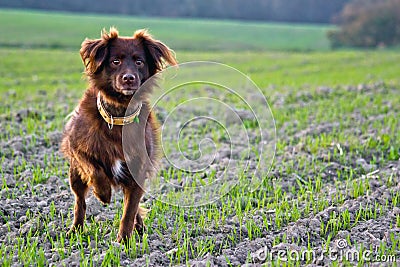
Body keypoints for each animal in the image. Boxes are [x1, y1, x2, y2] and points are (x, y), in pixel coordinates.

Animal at [60, 27, 177, 243]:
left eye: (139, 62)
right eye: (115, 61)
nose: (129, 78)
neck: (119, 115)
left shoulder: (138, 170)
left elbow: (129, 210)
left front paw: (123, 241)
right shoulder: (77, 149)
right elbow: (95, 170)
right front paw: (103, 194)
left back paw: (139, 227)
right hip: (75, 176)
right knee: (80, 202)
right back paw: (75, 230)